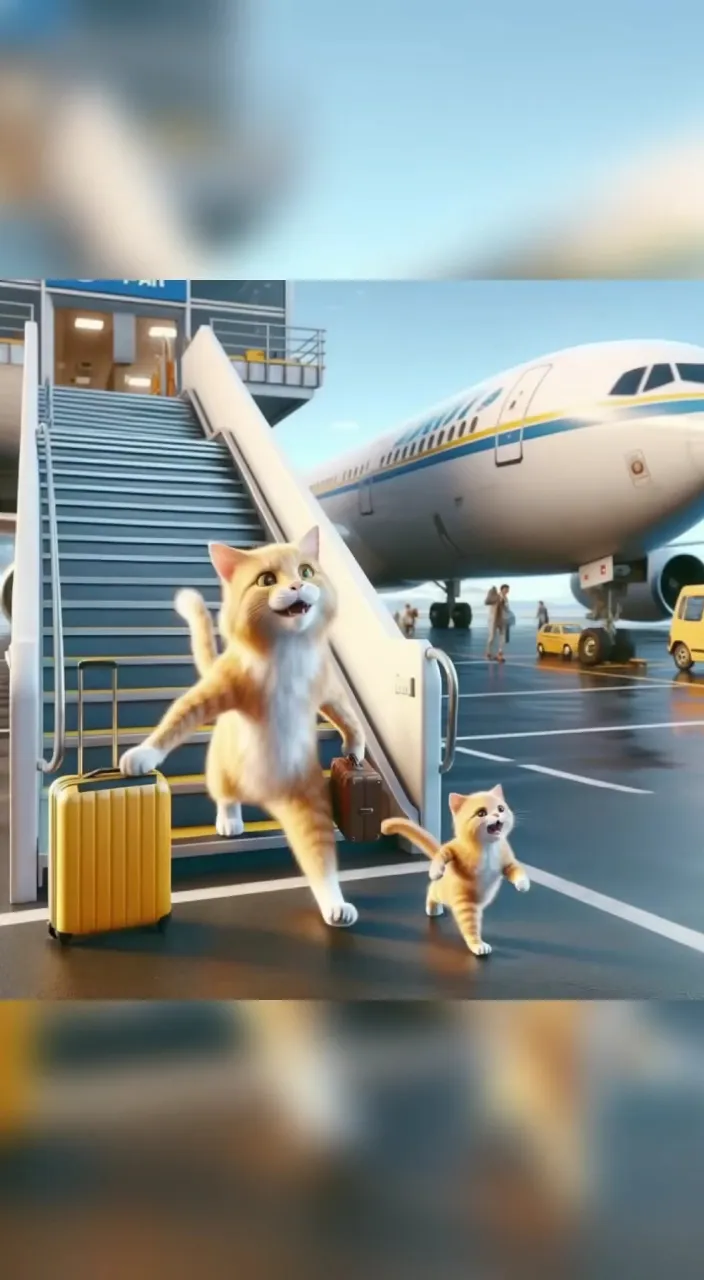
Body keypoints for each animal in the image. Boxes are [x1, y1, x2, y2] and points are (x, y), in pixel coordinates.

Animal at [119, 524, 366, 926]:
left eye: (306, 571)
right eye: (267, 580)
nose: (297, 585)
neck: (287, 653)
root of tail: (266, 798)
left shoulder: (327, 690)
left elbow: (349, 717)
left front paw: (355, 748)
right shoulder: (219, 689)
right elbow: (176, 719)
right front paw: (142, 755)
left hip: (308, 800)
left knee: (319, 856)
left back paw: (334, 903)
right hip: (221, 771)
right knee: (226, 796)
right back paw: (230, 820)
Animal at [386, 783, 529, 957]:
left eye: (501, 808)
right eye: (481, 813)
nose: (497, 814)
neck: (487, 848)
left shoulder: (507, 861)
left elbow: (516, 869)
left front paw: (523, 884)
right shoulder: (453, 849)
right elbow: (442, 853)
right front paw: (435, 870)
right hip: (460, 901)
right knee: (434, 891)